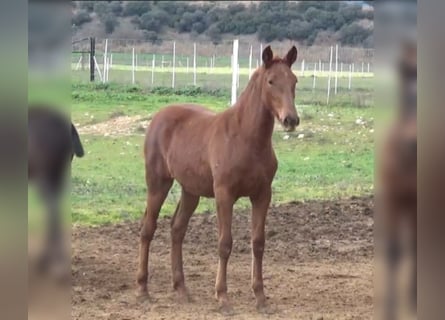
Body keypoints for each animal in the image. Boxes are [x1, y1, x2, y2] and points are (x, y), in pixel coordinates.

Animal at [137, 45, 300, 312]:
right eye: (271, 81)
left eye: (294, 81)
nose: (291, 120)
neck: (246, 138)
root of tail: (159, 116)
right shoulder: (224, 194)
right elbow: (225, 243)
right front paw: (222, 297)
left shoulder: (262, 195)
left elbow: (258, 243)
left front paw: (260, 297)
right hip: (158, 183)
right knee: (148, 229)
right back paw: (142, 290)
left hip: (190, 190)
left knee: (177, 229)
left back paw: (181, 289)